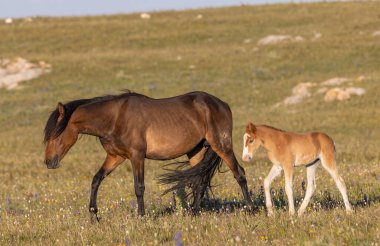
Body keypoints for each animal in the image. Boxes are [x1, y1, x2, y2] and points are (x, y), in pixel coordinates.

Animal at [43, 91, 252, 218]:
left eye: (56, 134)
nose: (48, 162)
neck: (115, 118)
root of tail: (222, 104)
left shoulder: (137, 156)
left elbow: (139, 187)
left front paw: (141, 216)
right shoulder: (116, 157)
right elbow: (96, 180)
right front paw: (94, 214)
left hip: (221, 145)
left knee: (240, 174)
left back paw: (250, 208)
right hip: (196, 151)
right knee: (199, 180)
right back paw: (194, 212)